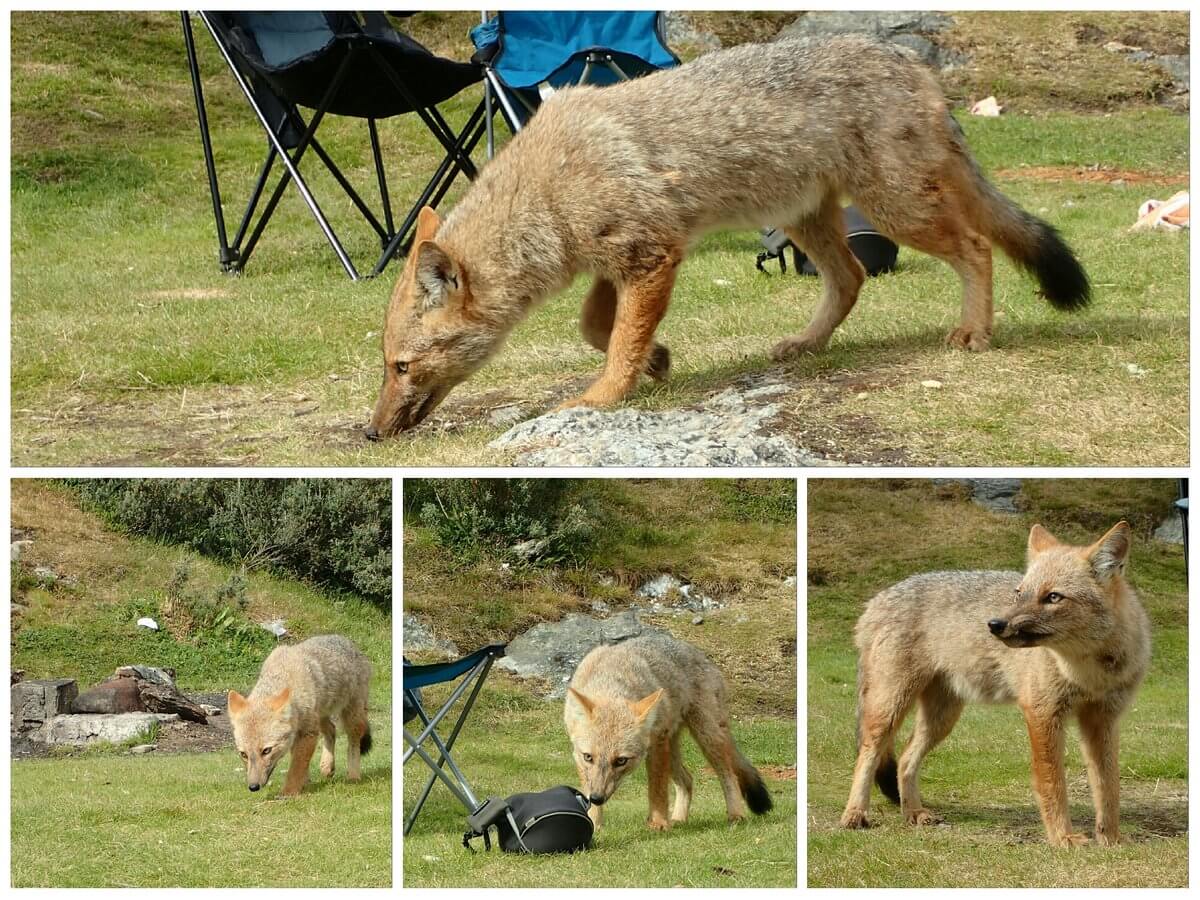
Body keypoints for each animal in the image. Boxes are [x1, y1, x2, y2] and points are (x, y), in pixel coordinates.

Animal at [228, 633, 369, 796]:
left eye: (266, 750)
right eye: (243, 754)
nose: (253, 787)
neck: (283, 674)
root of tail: (347, 641)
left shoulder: (307, 732)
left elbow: (297, 766)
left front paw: (289, 792)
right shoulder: (299, 733)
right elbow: (299, 762)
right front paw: (304, 782)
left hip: (351, 716)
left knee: (353, 742)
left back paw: (353, 776)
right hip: (320, 717)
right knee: (332, 730)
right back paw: (327, 765)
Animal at [364, 35, 1089, 441]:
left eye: (400, 367)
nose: (370, 435)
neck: (545, 189)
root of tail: (913, 62)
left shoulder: (651, 256)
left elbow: (616, 341)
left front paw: (604, 396)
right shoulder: (619, 264)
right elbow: (599, 328)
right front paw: (656, 360)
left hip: (895, 210)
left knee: (976, 248)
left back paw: (974, 332)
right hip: (807, 219)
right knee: (852, 279)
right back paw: (806, 344)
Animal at [559, 633, 768, 830]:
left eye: (621, 761)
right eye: (588, 757)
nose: (597, 798)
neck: (611, 680)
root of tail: (702, 655)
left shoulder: (657, 742)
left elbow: (657, 790)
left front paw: (658, 824)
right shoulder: (579, 756)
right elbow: (588, 789)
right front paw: (595, 825)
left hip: (706, 737)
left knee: (729, 775)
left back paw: (736, 815)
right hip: (674, 751)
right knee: (687, 780)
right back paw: (679, 819)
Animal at [840, 520, 1147, 844]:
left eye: (1053, 597)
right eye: (1019, 593)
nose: (995, 624)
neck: (1088, 673)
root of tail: (877, 598)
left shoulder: (1103, 720)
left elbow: (1109, 788)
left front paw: (1111, 839)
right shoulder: (1042, 713)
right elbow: (1053, 784)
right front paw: (1063, 838)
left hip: (941, 720)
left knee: (905, 759)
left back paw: (913, 813)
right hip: (891, 709)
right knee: (868, 754)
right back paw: (855, 814)